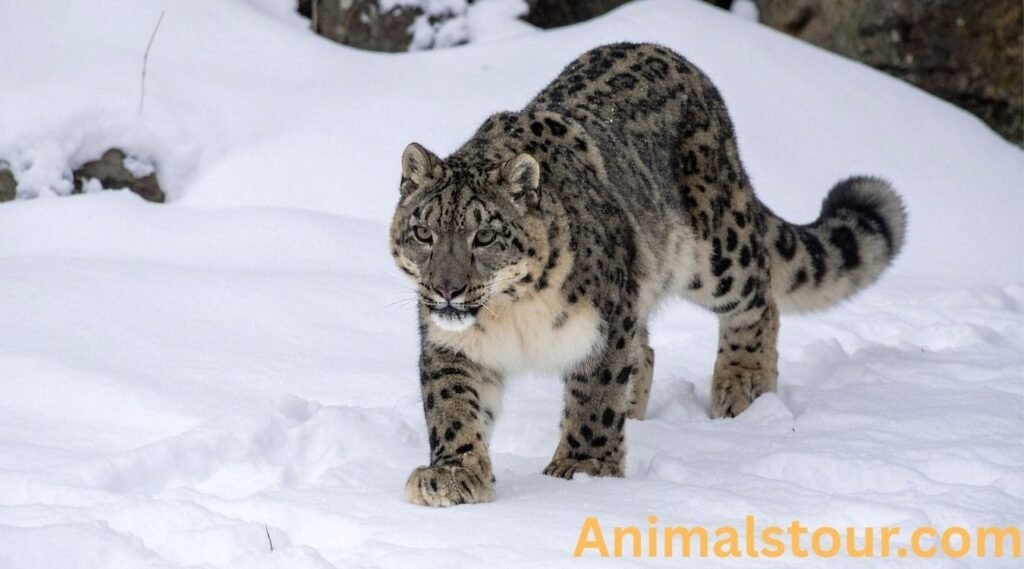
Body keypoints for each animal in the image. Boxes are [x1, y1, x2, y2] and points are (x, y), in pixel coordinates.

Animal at [389, 43, 907, 507]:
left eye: (484, 236)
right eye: (424, 232)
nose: (447, 289)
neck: (512, 315)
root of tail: (681, 62)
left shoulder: (606, 324)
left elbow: (594, 397)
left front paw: (583, 469)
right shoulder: (452, 345)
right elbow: (453, 405)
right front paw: (452, 476)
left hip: (717, 252)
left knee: (759, 300)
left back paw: (742, 389)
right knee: (649, 350)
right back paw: (638, 414)